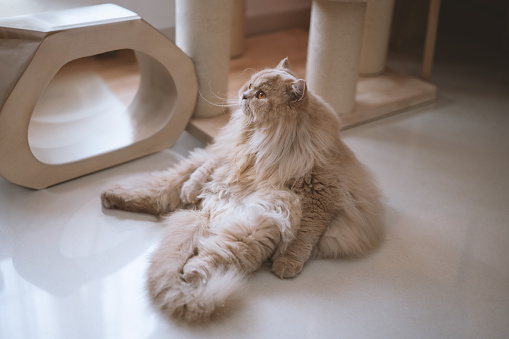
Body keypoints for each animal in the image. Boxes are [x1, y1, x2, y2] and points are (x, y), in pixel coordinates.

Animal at [101, 59, 382, 324]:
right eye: (249, 86)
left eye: (262, 95)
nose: (244, 96)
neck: (262, 139)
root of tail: (205, 213)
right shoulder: (228, 153)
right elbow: (210, 167)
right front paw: (192, 188)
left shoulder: (319, 195)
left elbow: (303, 238)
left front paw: (287, 263)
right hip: (189, 186)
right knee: (159, 195)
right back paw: (115, 197)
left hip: (258, 225)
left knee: (208, 255)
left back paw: (192, 273)